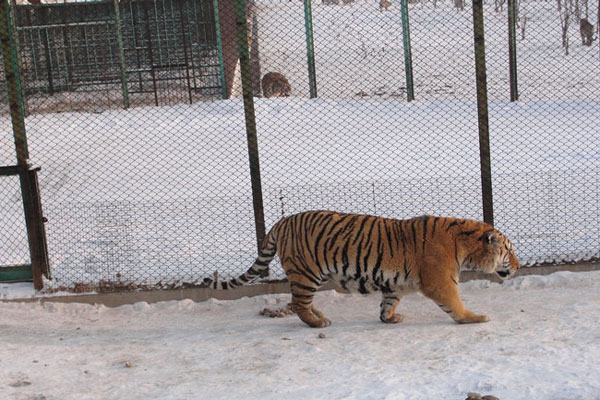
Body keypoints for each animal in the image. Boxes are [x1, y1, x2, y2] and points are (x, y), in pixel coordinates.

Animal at [203, 211, 520, 326]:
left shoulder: (395, 283)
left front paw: (389, 318)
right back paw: (317, 323)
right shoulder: (441, 282)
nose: (518, 266)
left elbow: (388, 303)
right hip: (306, 274)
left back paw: (321, 316)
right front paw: (475, 318)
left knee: (298, 302)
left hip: (309, 276)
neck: (466, 247)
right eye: (510, 250)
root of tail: (281, 222)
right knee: (297, 304)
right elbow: (456, 304)